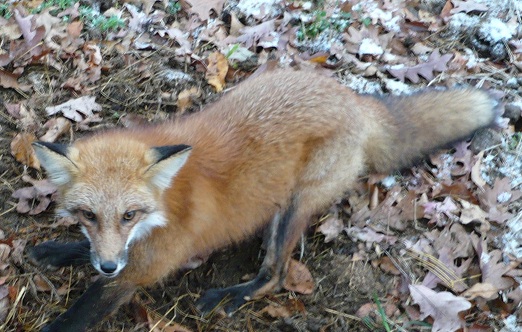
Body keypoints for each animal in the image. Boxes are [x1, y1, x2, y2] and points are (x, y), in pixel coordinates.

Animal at [29, 68, 496, 330]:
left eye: (130, 214)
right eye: (88, 214)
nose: (107, 265)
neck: (165, 201)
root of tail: (354, 99)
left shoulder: (142, 270)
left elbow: (81, 313)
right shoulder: (120, 253)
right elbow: (87, 251)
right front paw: (60, 251)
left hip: (292, 209)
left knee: (275, 275)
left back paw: (230, 295)